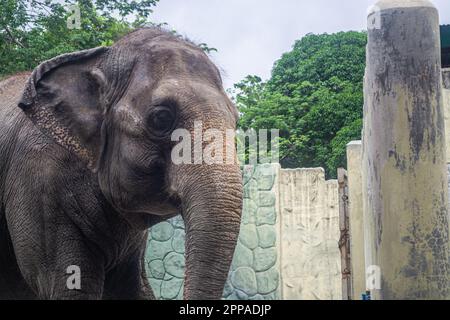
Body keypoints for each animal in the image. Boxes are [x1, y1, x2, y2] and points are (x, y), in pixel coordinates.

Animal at [0, 28, 243, 300]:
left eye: (236, 120)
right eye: (161, 118)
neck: (97, 62)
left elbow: (133, 287)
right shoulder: (39, 181)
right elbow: (70, 286)